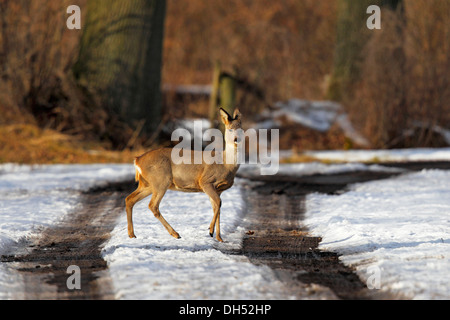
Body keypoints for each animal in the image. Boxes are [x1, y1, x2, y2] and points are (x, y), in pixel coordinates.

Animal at [125, 108, 244, 242]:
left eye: (241, 129)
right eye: (230, 129)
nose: (236, 139)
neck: (226, 164)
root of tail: (137, 160)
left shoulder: (218, 189)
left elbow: (217, 208)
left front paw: (219, 237)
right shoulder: (206, 181)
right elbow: (219, 203)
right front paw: (210, 231)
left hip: (148, 184)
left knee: (129, 199)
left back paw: (132, 234)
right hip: (161, 180)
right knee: (152, 205)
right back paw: (175, 233)